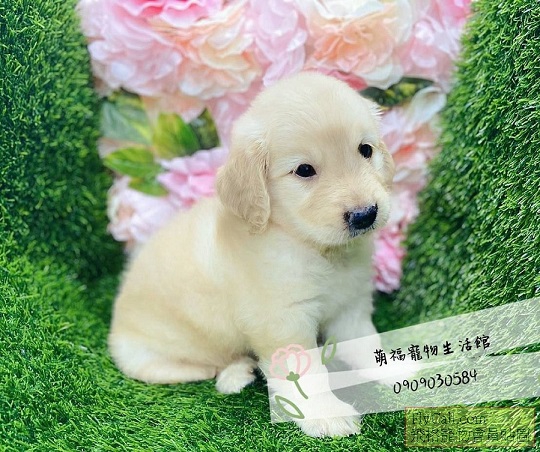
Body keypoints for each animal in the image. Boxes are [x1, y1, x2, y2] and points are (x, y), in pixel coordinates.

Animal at [108, 71, 395, 437]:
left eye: (365, 150)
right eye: (304, 170)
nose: (365, 215)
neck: (312, 246)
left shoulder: (351, 307)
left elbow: (368, 346)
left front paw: (398, 369)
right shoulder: (282, 321)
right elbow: (310, 375)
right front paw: (326, 413)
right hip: (150, 360)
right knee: (204, 366)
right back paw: (235, 371)